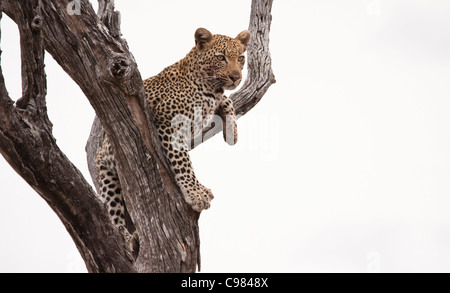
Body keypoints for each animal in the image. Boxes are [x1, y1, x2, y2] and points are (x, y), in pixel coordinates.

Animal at [93, 27, 251, 237]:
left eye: (240, 58)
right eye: (221, 57)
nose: (235, 77)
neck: (210, 88)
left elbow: (227, 101)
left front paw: (232, 131)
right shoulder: (169, 124)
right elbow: (183, 162)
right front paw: (196, 193)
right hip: (107, 168)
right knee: (114, 214)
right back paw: (126, 237)